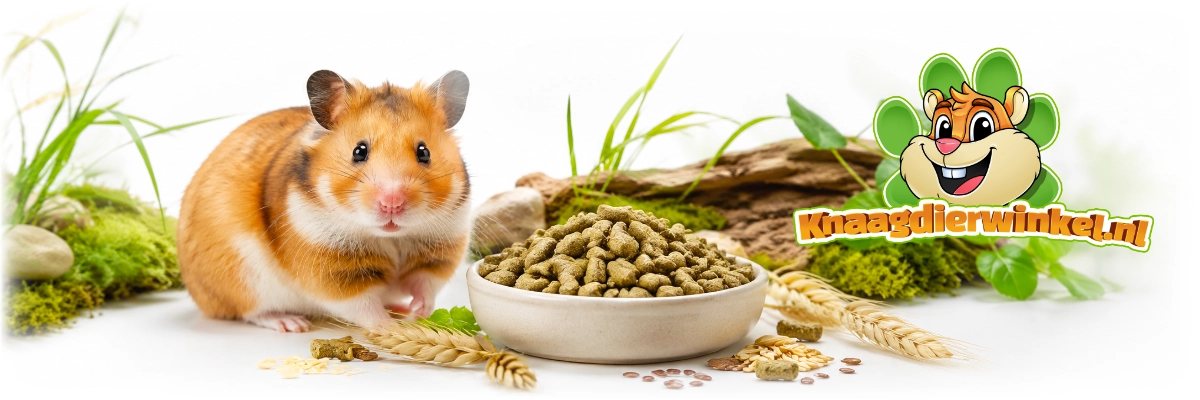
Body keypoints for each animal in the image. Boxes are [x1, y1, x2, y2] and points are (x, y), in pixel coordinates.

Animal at [177, 70, 473, 332]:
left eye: (424, 152)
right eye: (359, 151)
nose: (392, 204)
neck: (390, 237)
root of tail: (196, 292)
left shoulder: (440, 252)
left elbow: (425, 285)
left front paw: (417, 315)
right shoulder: (331, 271)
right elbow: (364, 306)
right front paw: (391, 329)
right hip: (242, 279)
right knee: (251, 312)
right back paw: (292, 324)